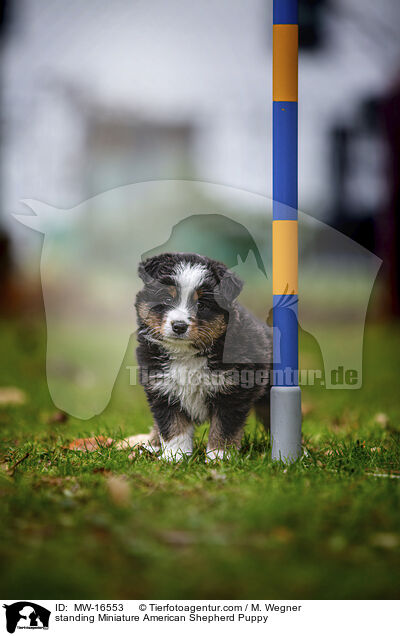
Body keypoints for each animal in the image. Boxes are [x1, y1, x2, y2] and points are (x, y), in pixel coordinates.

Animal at [136, 252, 274, 462]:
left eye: (201, 304)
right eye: (167, 299)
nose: (179, 326)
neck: (186, 354)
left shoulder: (233, 392)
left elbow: (224, 429)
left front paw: (219, 457)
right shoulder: (162, 389)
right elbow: (172, 426)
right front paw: (175, 457)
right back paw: (152, 444)